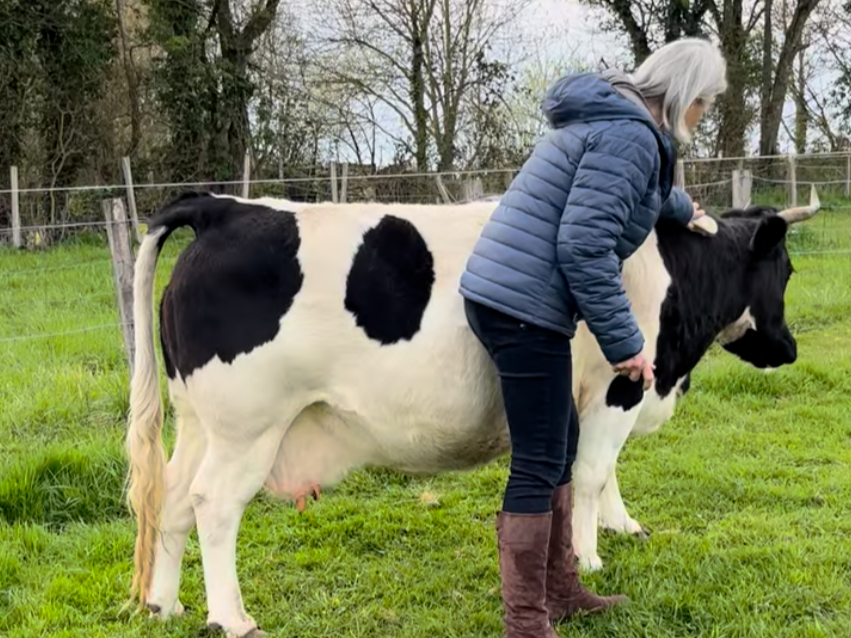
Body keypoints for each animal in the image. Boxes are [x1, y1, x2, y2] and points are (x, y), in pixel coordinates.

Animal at [124, 186, 820, 637]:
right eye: (786, 269)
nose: (788, 349)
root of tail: (223, 207)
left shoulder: (587, 397)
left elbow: (595, 474)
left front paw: (620, 527)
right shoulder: (618, 384)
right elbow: (594, 473)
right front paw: (592, 558)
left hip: (198, 421)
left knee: (173, 499)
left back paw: (165, 605)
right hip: (248, 426)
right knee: (214, 504)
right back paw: (231, 618)